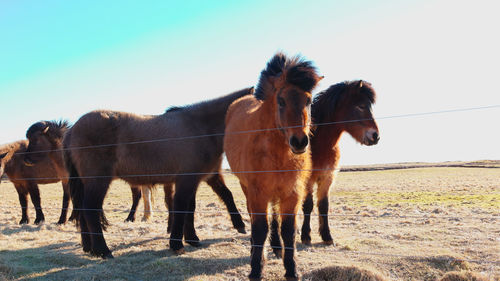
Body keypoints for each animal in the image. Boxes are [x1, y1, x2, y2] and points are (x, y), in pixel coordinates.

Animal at [65, 86, 254, 258]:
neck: (199, 127)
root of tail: (73, 128)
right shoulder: (187, 180)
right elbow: (181, 207)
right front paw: (177, 244)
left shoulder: (198, 179)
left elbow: (194, 207)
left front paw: (193, 238)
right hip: (98, 181)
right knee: (90, 210)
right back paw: (103, 250)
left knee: (83, 212)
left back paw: (90, 248)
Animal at [225, 53, 322, 280]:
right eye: (281, 100)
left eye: (308, 100)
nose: (299, 142)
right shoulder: (258, 192)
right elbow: (260, 229)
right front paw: (255, 269)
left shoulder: (292, 193)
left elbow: (288, 230)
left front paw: (292, 270)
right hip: (247, 189)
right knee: (255, 217)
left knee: (275, 218)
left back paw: (277, 248)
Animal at [270, 80, 378, 248]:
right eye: (361, 106)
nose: (375, 136)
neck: (321, 143)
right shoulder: (309, 180)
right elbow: (308, 205)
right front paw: (306, 236)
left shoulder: (327, 178)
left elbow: (323, 206)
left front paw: (327, 236)